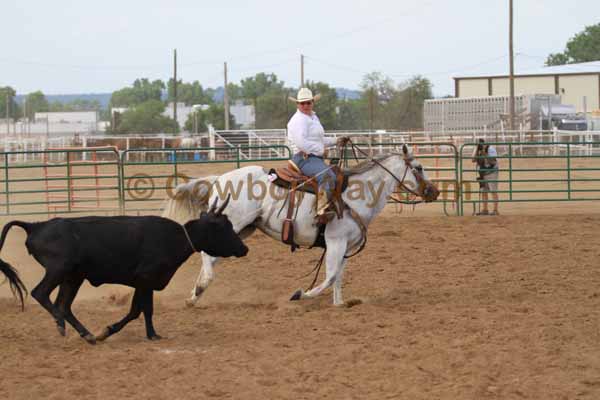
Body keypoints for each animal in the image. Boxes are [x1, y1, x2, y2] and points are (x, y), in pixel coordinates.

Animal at [162, 145, 438, 306]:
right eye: (419, 167)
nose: (434, 192)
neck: (356, 195)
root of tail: (220, 178)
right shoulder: (336, 242)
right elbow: (330, 276)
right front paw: (301, 294)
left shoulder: (345, 246)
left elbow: (338, 276)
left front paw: (339, 304)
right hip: (234, 224)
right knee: (207, 255)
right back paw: (201, 287)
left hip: (242, 229)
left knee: (211, 255)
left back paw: (196, 293)